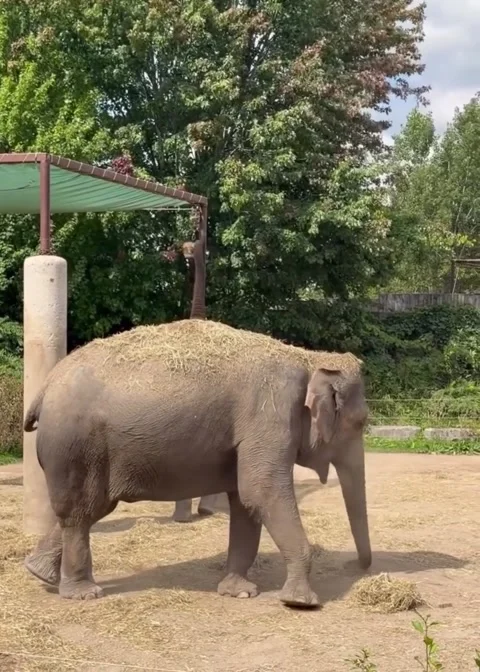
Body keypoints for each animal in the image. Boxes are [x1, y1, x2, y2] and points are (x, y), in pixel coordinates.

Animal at [23, 329, 372, 608]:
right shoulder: (269, 416)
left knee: (90, 509)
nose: (360, 567)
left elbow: (245, 502)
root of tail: (46, 386)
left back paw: (38, 572)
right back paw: (83, 594)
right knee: (81, 511)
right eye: (360, 423)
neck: (307, 357)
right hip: (76, 447)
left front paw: (239, 592)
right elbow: (262, 492)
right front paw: (301, 602)